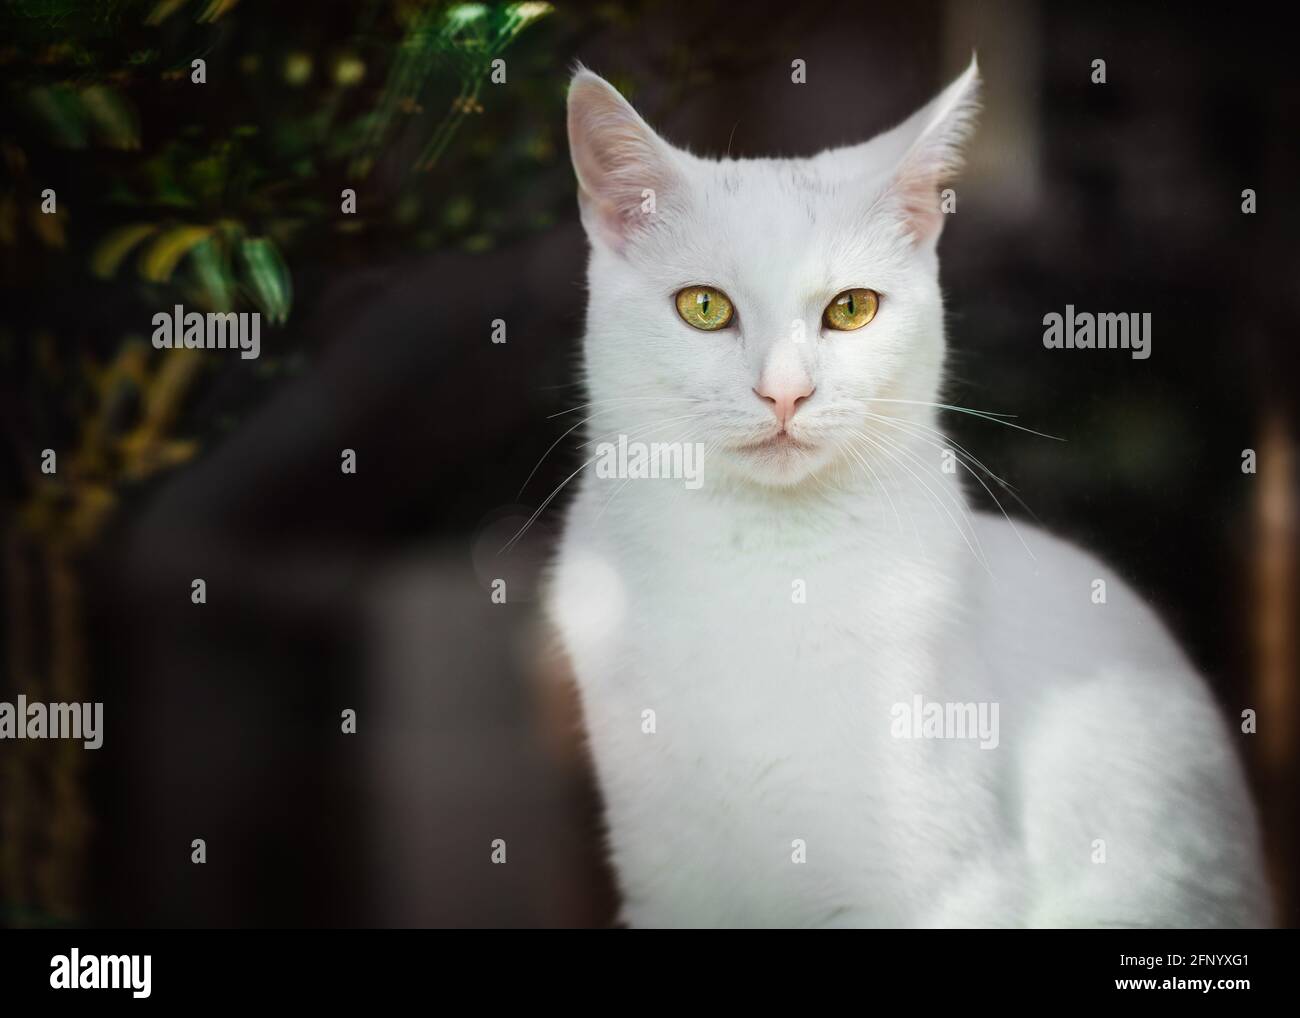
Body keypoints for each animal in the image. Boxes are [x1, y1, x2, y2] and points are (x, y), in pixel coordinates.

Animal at [546, 57, 1268, 930]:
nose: (784, 392)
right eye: (704, 306)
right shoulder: (669, 882)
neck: (764, 571)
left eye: (851, 309)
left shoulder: (947, 884)